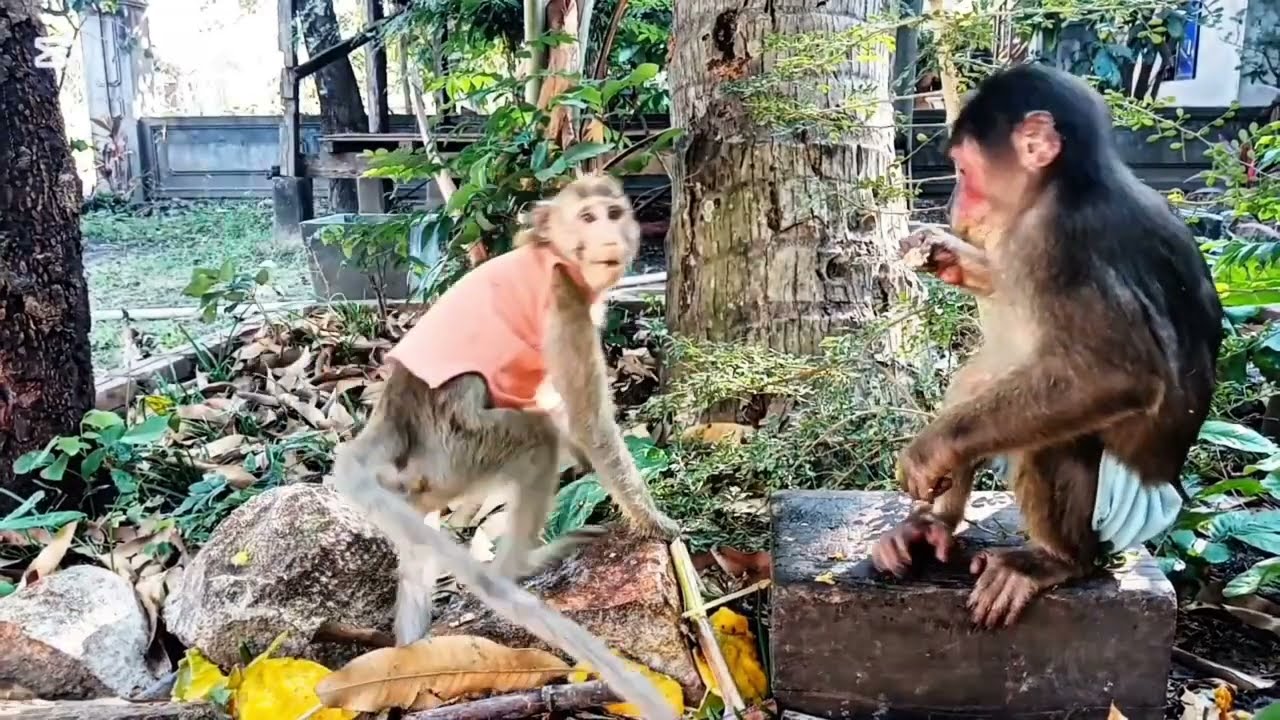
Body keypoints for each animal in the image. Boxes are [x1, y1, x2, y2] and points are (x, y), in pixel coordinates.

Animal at [330, 174, 681, 719]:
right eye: (587, 218)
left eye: (613, 213)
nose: (608, 235)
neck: (553, 252)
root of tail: (393, 411)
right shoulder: (565, 297)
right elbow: (587, 422)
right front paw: (658, 523)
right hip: (460, 449)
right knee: (537, 438)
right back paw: (519, 568)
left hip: (420, 481)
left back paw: (409, 654)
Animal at [870, 63, 1223, 629]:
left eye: (964, 171)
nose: (953, 206)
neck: (1064, 186)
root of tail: (1167, 492)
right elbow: (1001, 282)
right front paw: (943, 253)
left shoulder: (1064, 245)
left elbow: (1120, 375)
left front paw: (931, 451)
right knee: (984, 378)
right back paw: (930, 526)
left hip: (1114, 515)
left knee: (1049, 437)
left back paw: (1057, 559)